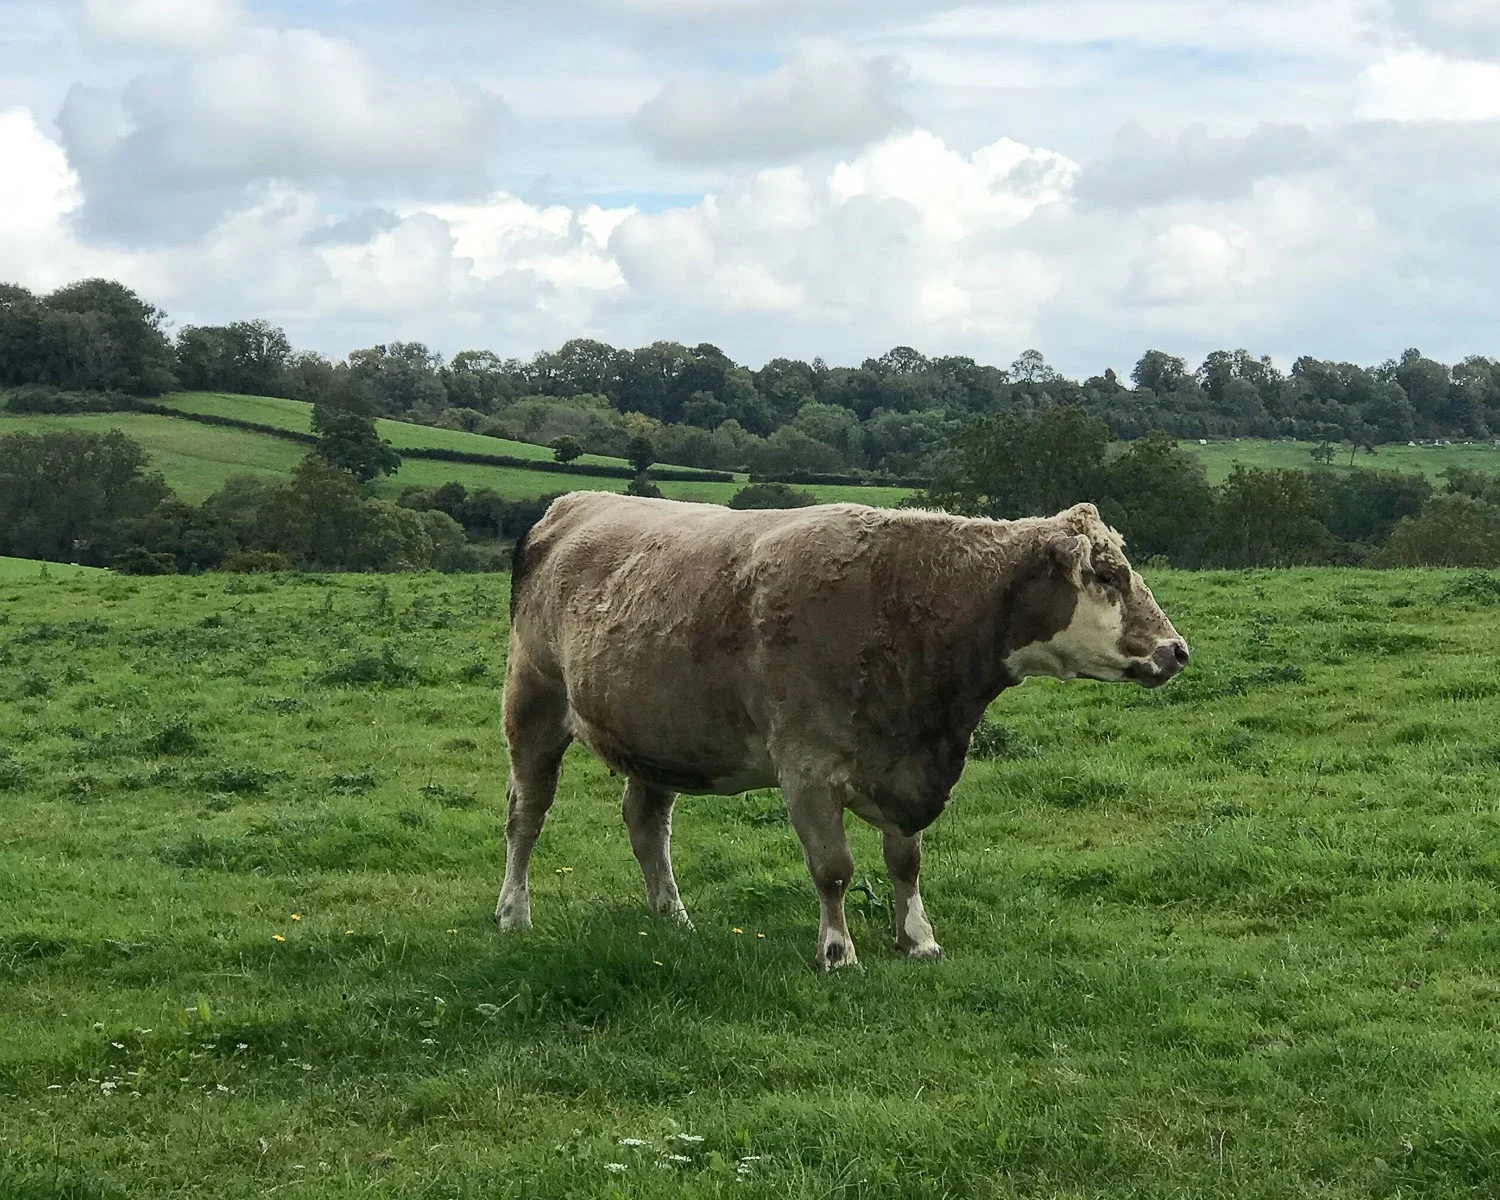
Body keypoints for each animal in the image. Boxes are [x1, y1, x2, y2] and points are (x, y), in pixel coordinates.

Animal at [498, 492, 1188, 972]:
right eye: (1107, 576)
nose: (1176, 650)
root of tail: (571, 504)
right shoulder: (807, 766)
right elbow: (833, 866)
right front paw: (837, 950)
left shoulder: (907, 769)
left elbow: (906, 861)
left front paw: (918, 939)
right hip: (533, 704)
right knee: (525, 816)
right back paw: (513, 914)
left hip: (658, 735)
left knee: (646, 823)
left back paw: (672, 917)